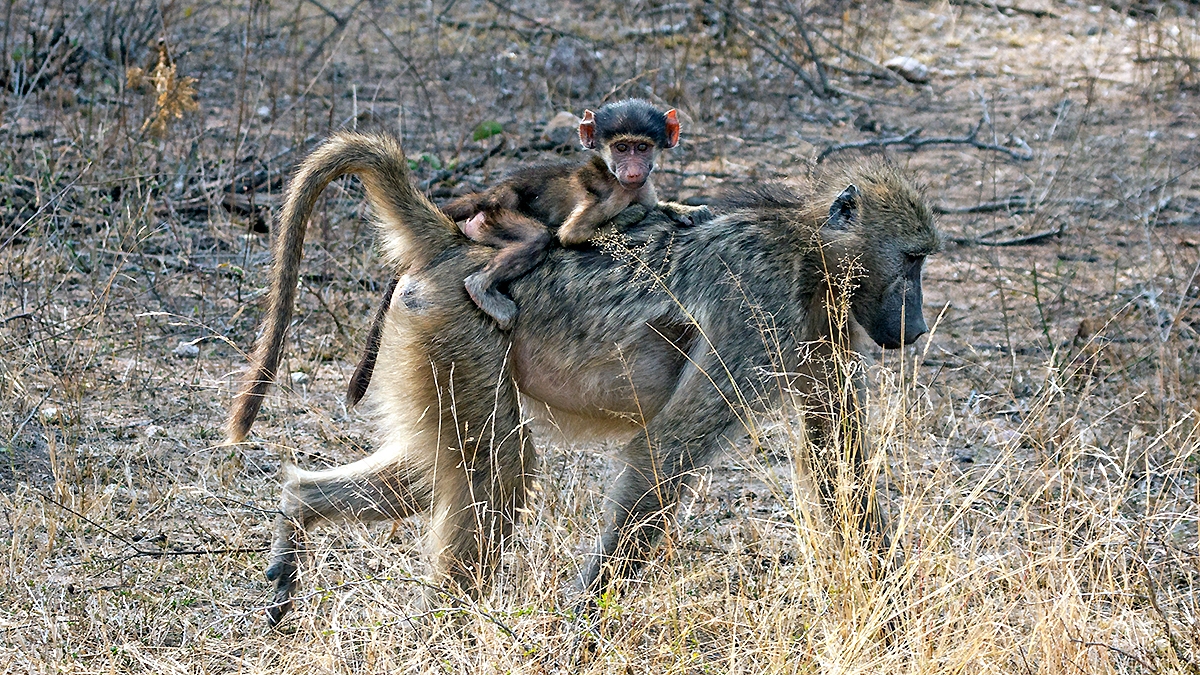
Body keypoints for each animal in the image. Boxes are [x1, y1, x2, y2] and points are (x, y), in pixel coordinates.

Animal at [225, 131, 939, 627]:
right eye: (912, 259)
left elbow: (838, 458)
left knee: (435, 467)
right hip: (459, 332)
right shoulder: (755, 306)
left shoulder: (821, 330)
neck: (806, 250)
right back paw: (453, 622)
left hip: (425, 345)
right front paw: (585, 615)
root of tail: (452, 243)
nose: (917, 321)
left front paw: (892, 603)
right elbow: (666, 451)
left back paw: (297, 516)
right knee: (501, 469)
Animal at [439, 98, 705, 330]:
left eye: (642, 147)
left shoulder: (645, 188)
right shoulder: (609, 197)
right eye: (621, 148)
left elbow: (654, 205)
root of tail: (490, 193)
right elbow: (570, 235)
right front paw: (632, 214)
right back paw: (480, 288)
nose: (632, 172)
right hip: (492, 217)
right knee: (538, 237)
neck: (615, 178)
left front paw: (683, 209)